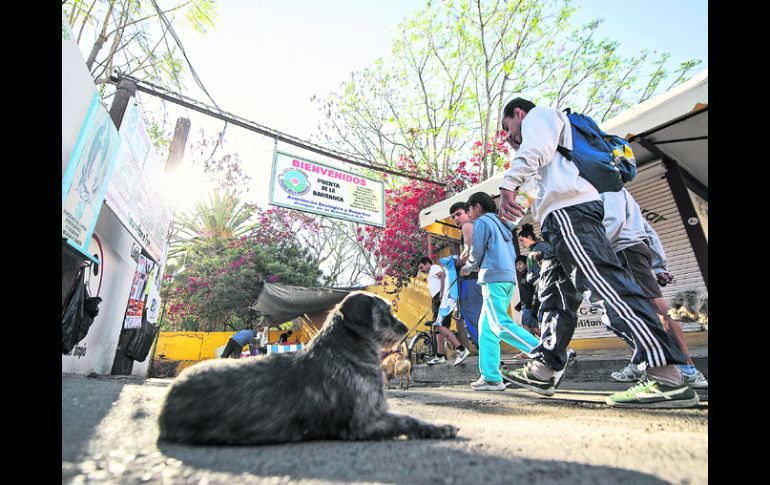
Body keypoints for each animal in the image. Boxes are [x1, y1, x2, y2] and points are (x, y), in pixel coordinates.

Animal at [156, 290, 456, 444]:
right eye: (385, 312)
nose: (405, 328)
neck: (344, 351)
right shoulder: (364, 423)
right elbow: (407, 419)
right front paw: (439, 428)